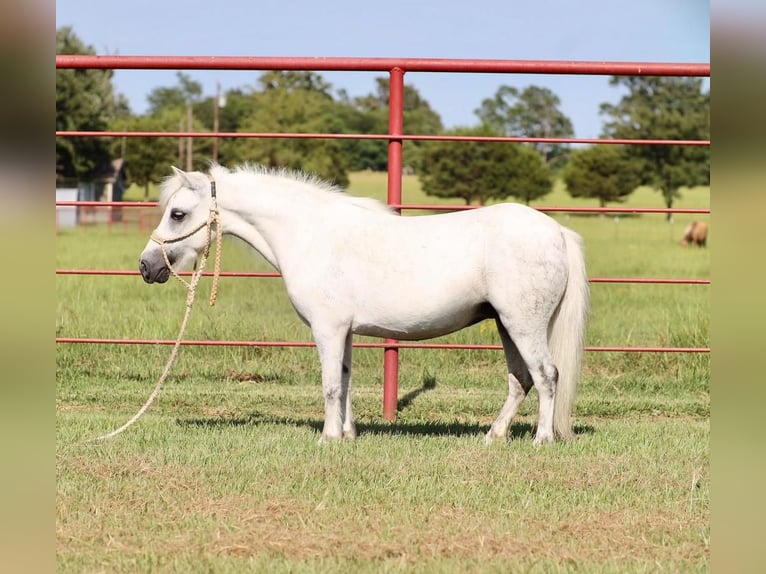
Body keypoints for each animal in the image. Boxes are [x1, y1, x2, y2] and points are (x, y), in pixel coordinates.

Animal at [140, 164, 592, 448]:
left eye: (178, 214)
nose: (147, 266)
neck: (310, 234)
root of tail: (556, 231)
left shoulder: (327, 328)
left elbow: (329, 384)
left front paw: (327, 438)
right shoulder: (344, 332)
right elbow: (344, 381)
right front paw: (346, 434)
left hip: (523, 324)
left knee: (546, 375)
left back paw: (542, 439)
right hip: (505, 324)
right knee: (521, 379)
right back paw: (493, 436)